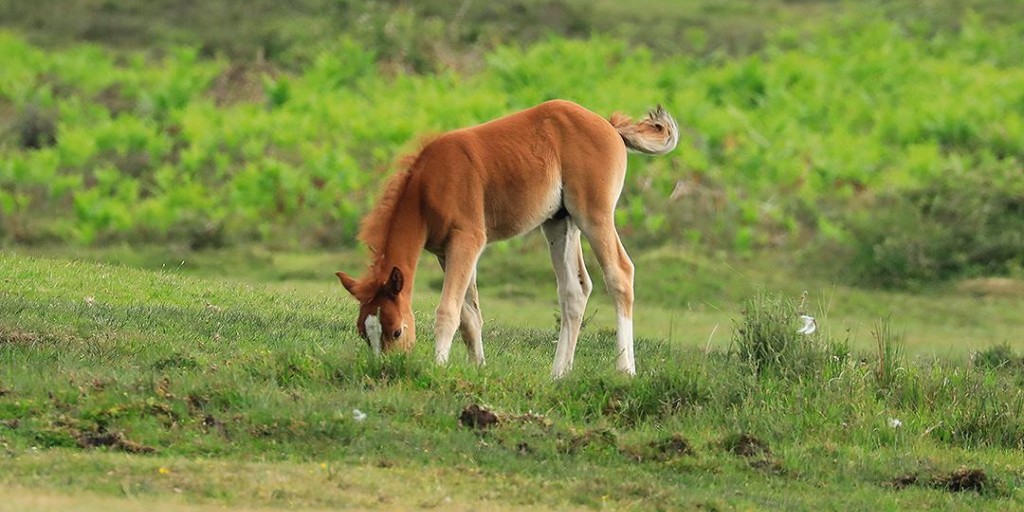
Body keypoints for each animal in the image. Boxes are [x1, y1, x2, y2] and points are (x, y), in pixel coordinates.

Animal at [336, 99, 678, 378]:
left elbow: (448, 310)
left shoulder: (468, 240)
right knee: (575, 290)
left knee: (620, 274)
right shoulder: (446, 251)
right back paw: (559, 374)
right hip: (560, 223)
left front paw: (438, 367)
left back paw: (625, 370)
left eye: (396, 331)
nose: (386, 368)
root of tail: (608, 125)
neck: (427, 187)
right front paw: (478, 367)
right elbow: (469, 315)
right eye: (363, 332)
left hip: (594, 215)